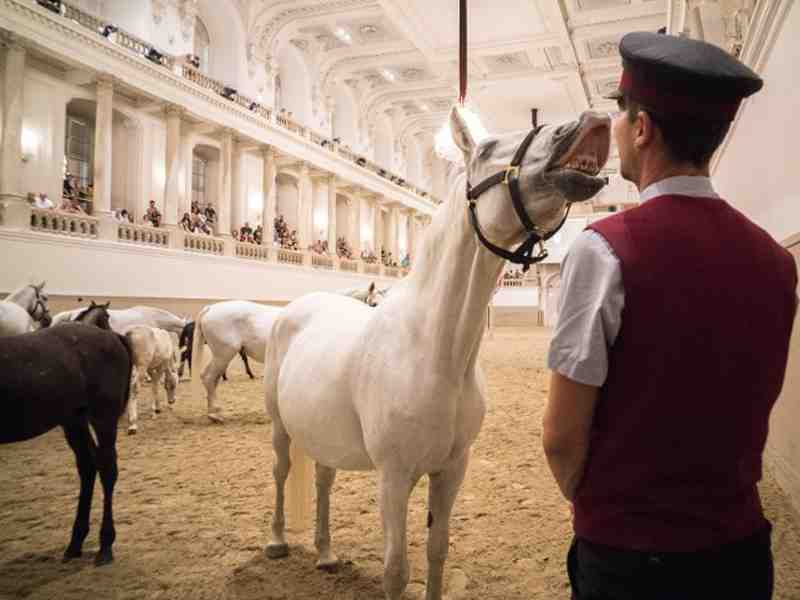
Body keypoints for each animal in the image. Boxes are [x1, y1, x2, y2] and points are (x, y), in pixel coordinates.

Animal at [0, 302, 133, 564]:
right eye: (108, 317)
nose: (111, 328)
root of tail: (113, 340)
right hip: (74, 420)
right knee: (90, 466)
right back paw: (76, 543)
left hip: (100, 416)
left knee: (106, 469)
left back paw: (104, 546)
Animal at [266, 105, 608, 596]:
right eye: (486, 149)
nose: (590, 121)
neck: (434, 351)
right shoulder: (393, 477)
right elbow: (396, 570)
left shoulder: (451, 469)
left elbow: (437, 551)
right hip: (279, 426)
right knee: (280, 471)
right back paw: (276, 542)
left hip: (322, 431)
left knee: (324, 479)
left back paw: (327, 554)